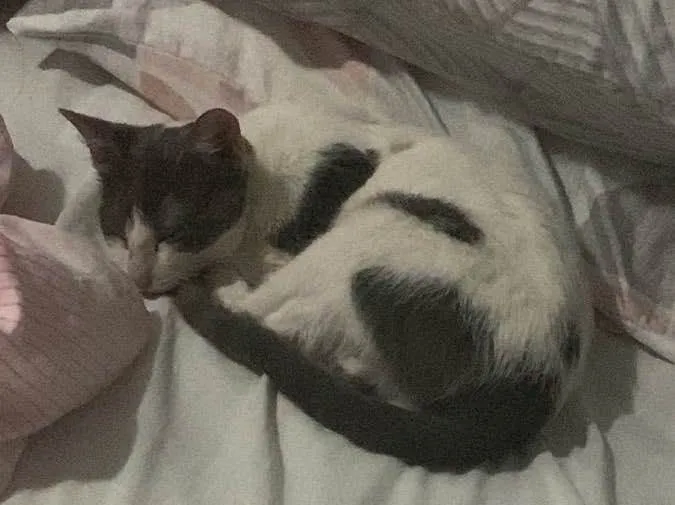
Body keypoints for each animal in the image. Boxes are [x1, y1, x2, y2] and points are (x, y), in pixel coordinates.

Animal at [60, 102, 593, 471]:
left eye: (174, 231)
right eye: (116, 229)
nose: (138, 278)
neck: (264, 172)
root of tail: (535, 382)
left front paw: (218, 273)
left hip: (378, 236)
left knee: (273, 315)